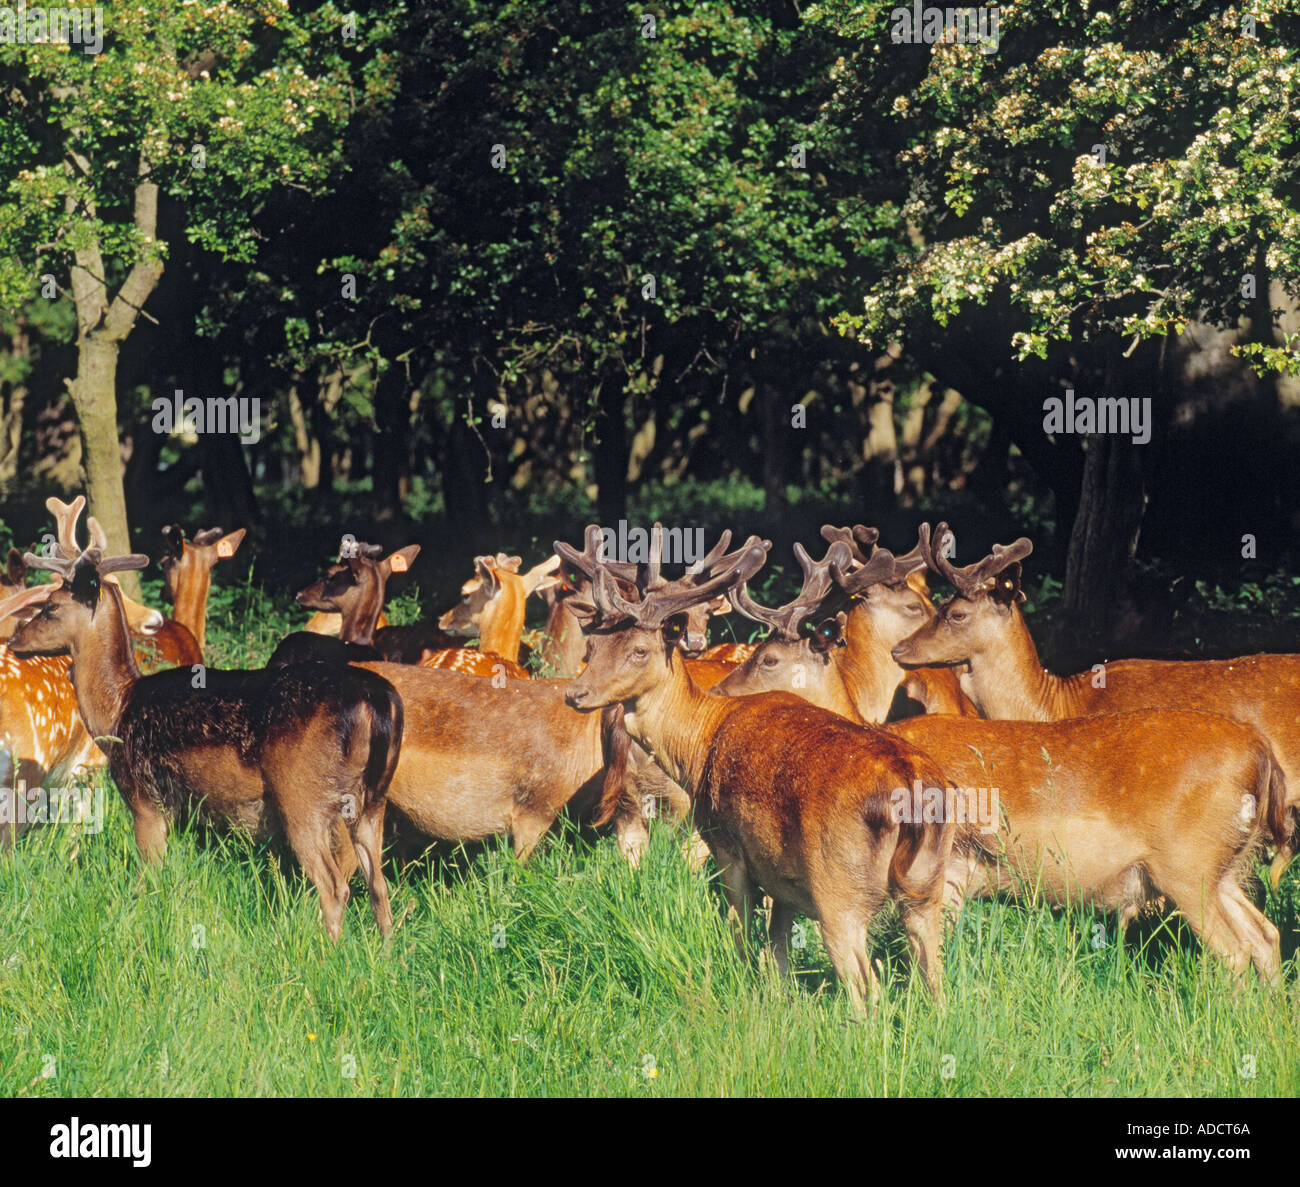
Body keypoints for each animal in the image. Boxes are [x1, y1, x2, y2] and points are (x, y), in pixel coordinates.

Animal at [11, 540, 400, 941]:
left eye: (50, 606)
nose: (14, 640)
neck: (117, 708)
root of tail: (378, 701)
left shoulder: (145, 797)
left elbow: (150, 877)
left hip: (304, 796)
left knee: (334, 885)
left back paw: (328, 950)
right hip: (372, 800)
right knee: (378, 883)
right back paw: (385, 950)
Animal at [551, 522, 956, 1003]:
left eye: (639, 651)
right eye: (593, 644)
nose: (576, 693)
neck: (698, 742)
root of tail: (911, 795)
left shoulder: (727, 845)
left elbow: (741, 934)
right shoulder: (782, 877)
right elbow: (778, 951)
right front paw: (779, 998)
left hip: (839, 887)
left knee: (867, 988)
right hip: (927, 888)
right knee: (935, 981)